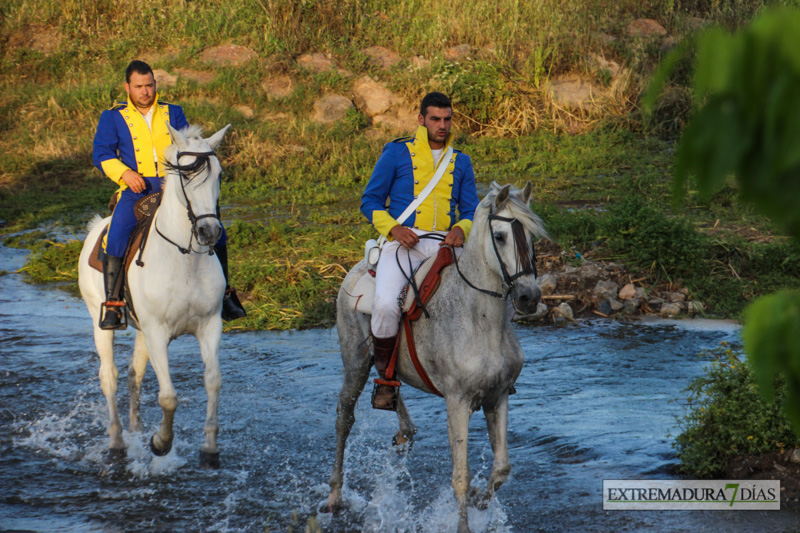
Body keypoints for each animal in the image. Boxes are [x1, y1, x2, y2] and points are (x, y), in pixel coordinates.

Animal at [78, 123, 230, 466]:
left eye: (219, 174)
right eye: (186, 176)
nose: (210, 232)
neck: (185, 257)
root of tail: (98, 226)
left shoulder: (210, 326)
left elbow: (213, 381)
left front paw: (210, 449)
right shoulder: (158, 332)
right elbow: (169, 397)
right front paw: (161, 442)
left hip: (142, 332)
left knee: (134, 374)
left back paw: (134, 430)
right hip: (100, 321)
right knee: (109, 376)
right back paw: (118, 443)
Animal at [328, 182, 548, 528]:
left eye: (532, 236)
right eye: (500, 236)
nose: (529, 297)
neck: (481, 319)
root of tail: (356, 269)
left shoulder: (497, 396)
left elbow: (501, 468)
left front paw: (481, 501)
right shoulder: (457, 402)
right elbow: (461, 477)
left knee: (388, 382)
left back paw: (399, 423)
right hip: (355, 364)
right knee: (344, 418)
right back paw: (335, 496)